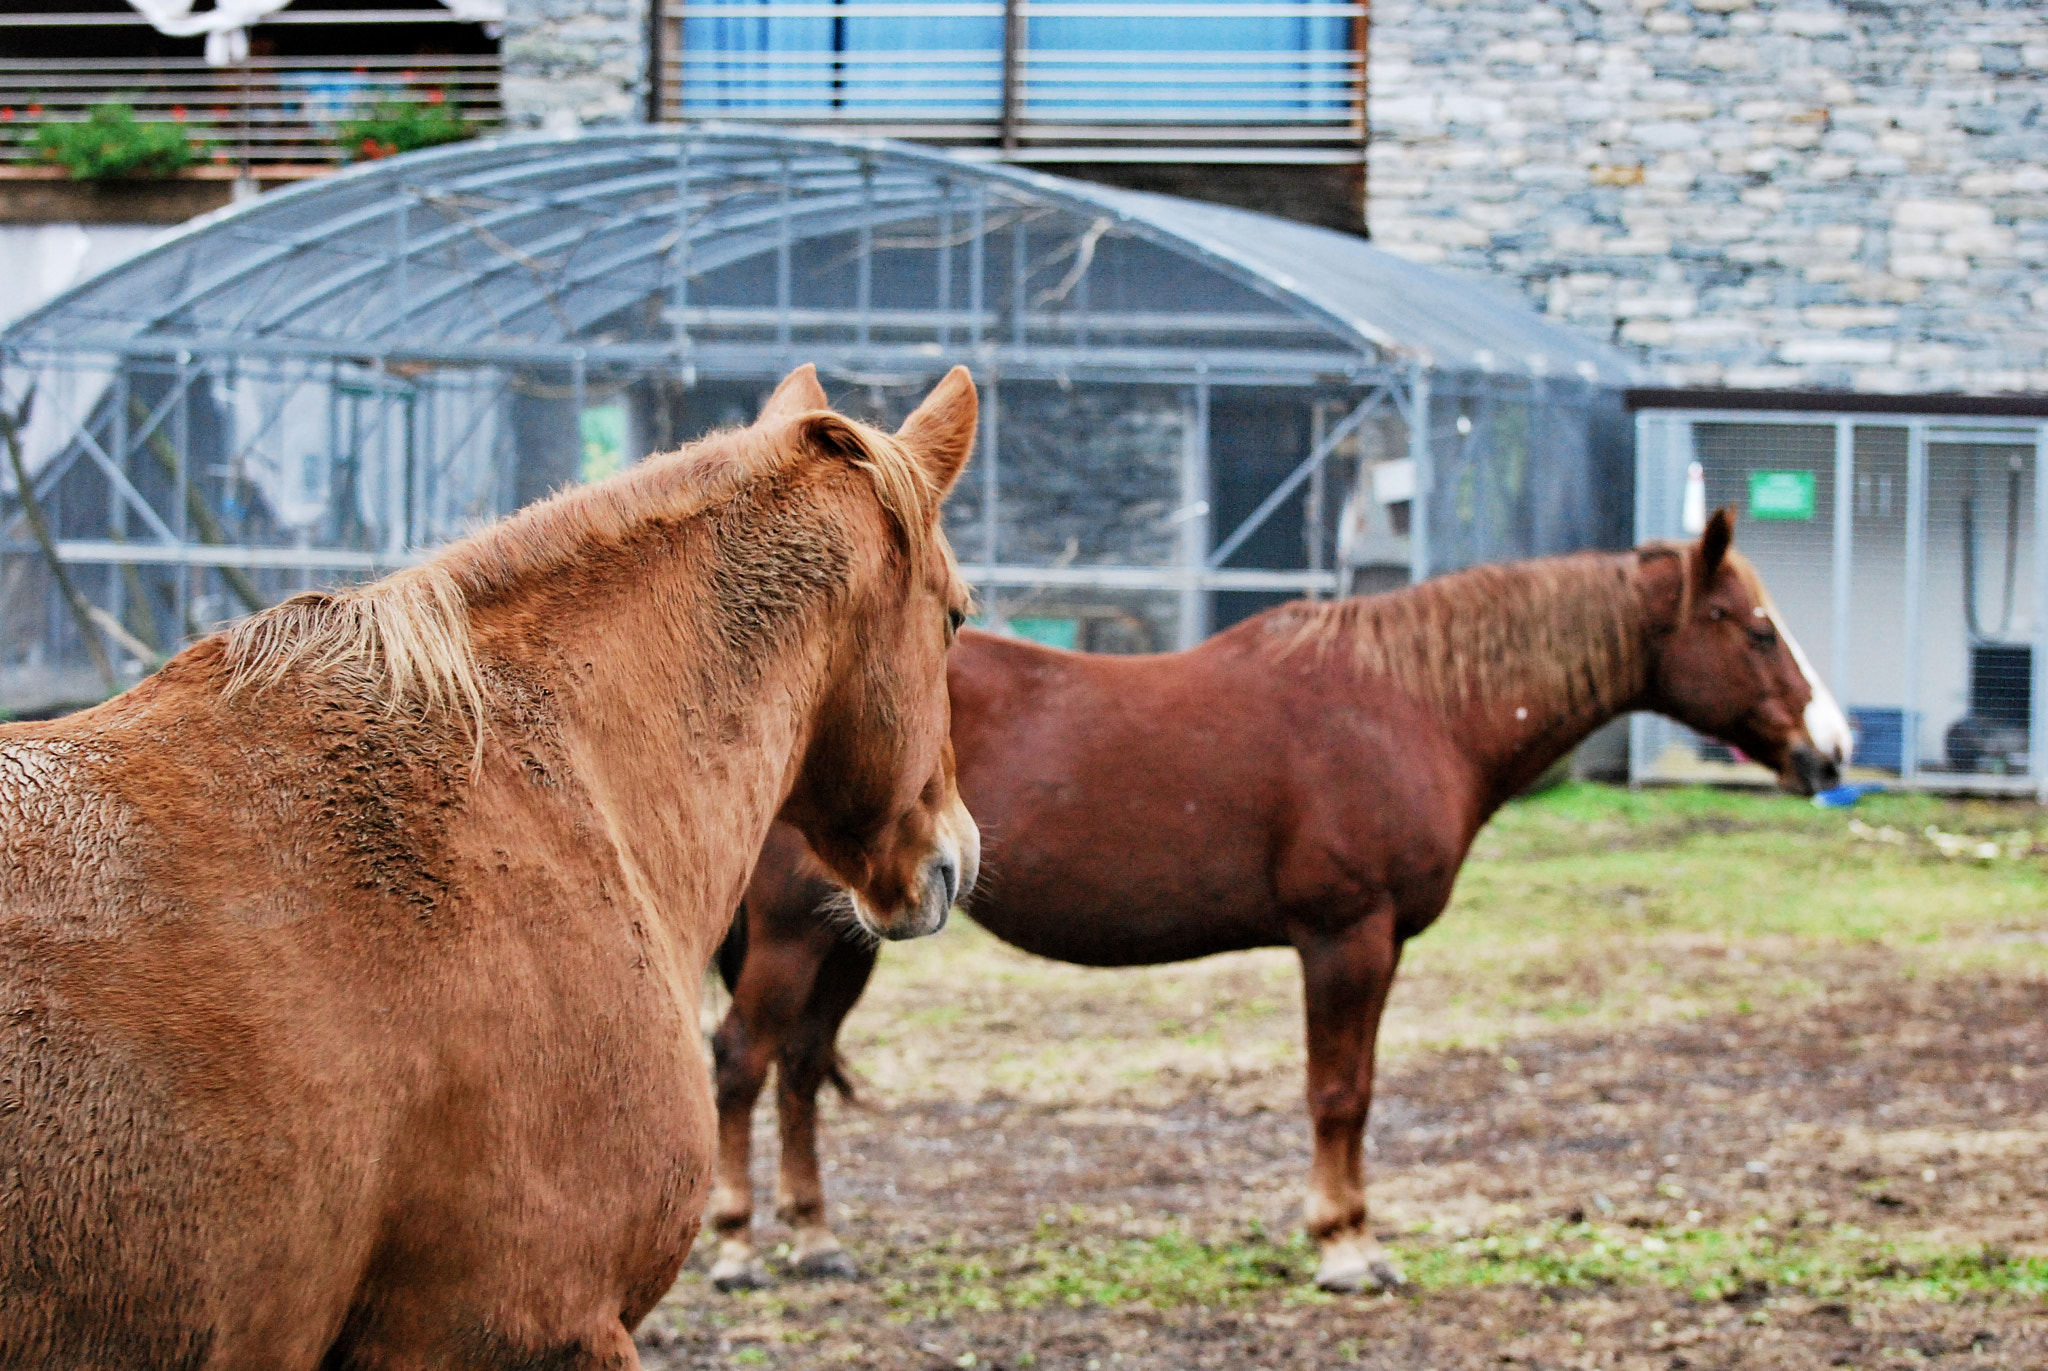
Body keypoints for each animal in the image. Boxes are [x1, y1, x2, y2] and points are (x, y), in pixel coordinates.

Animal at [705, 510, 1852, 1294]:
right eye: (1751, 629)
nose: (1831, 749)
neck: (1407, 702)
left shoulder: (1375, 947)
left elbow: (1359, 1089)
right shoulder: (1346, 937)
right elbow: (1336, 1093)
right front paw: (1344, 1246)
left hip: (850, 940)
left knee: (800, 1068)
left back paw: (816, 1238)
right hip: (793, 937)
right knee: (741, 1061)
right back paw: (735, 1246)